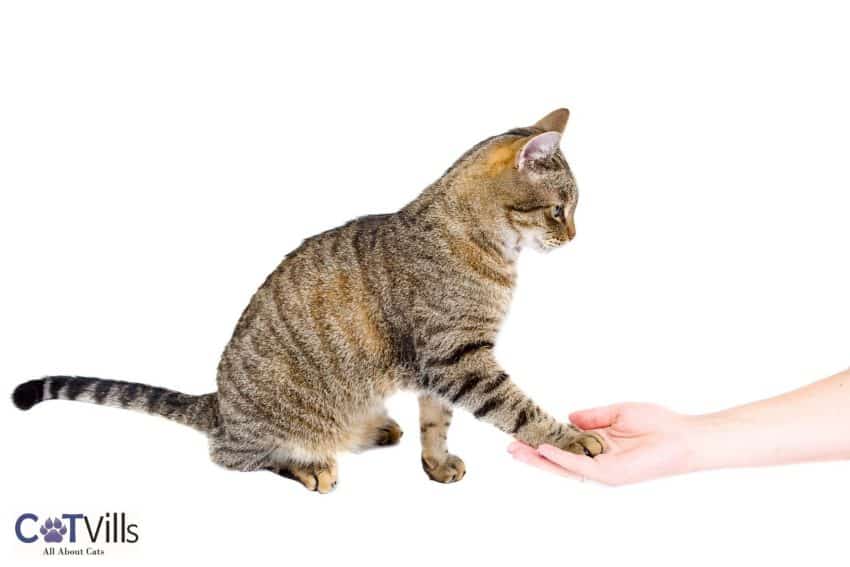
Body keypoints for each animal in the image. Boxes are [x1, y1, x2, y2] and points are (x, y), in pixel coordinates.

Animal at [16, 108, 608, 490]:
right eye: (559, 210)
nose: (575, 237)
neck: (485, 245)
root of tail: (219, 405)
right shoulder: (457, 358)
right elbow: (519, 409)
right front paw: (571, 440)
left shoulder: (442, 367)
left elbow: (435, 423)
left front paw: (436, 465)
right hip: (267, 432)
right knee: (232, 457)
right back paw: (310, 466)